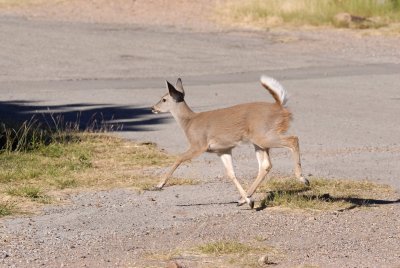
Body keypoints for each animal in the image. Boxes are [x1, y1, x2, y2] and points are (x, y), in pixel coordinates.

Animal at [150, 76, 310, 208]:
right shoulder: (222, 150)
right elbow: (231, 173)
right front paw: (249, 201)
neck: (189, 122)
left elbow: (179, 158)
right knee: (266, 165)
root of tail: (279, 106)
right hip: (260, 141)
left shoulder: (199, 144)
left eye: (164, 99)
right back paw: (242, 200)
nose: (152, 108)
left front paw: (159, 184)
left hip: (264, 136)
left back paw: (303, 179)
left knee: (293, 139)